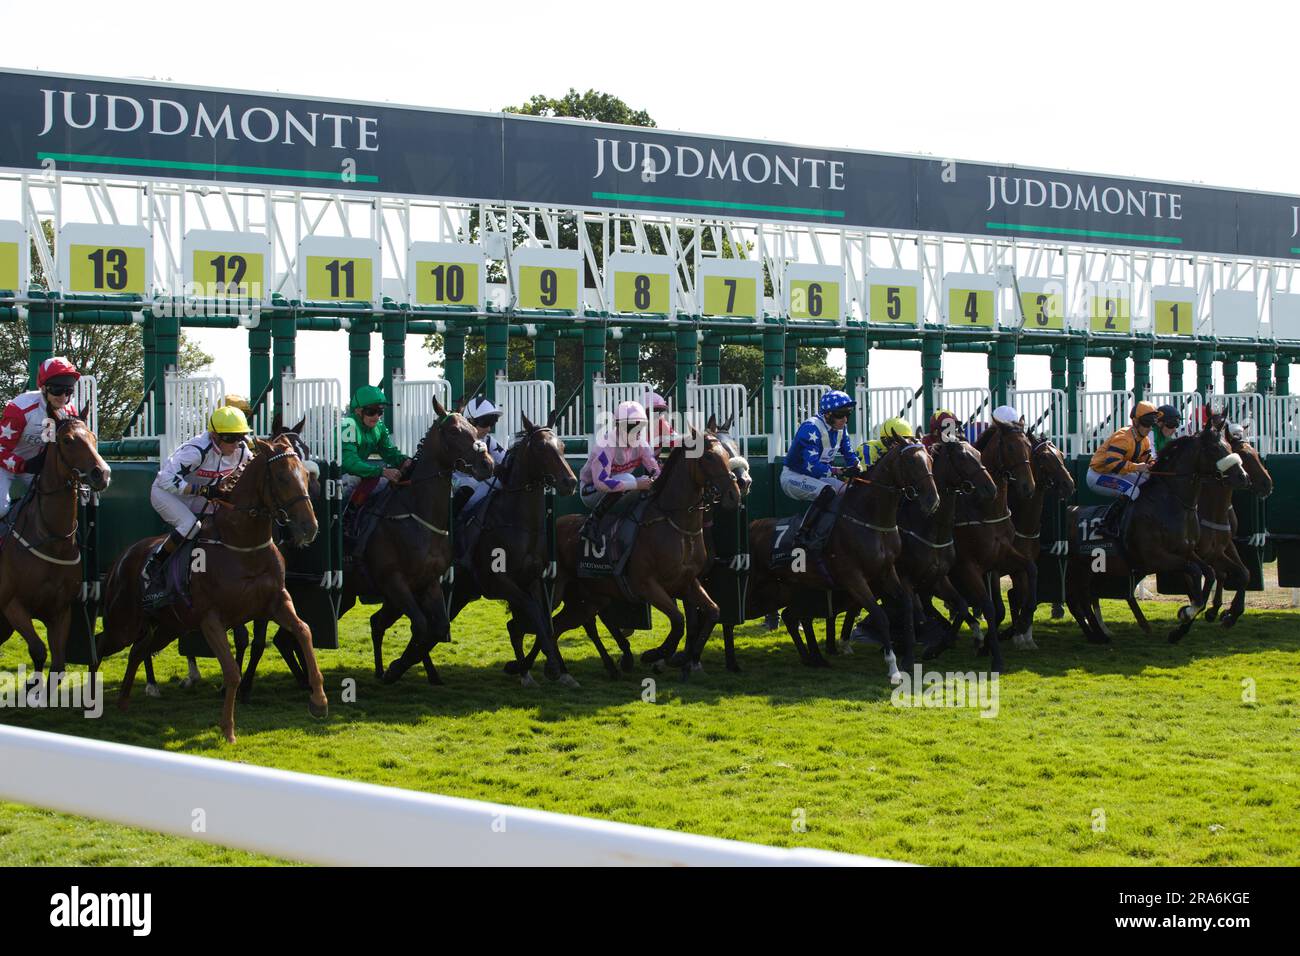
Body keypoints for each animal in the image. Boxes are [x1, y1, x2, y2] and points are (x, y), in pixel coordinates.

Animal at [0, 411, 111, 686]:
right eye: (67, 440)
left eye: (93, 436)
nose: (102, 474)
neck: (50, 537)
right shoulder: (12, 605)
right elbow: (39, 651)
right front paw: (30, 685)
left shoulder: (61, 610)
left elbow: (58, 666)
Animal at [94, 434, 322, 749]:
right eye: (281, 477)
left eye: (306, 475)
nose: (309, 527)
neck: (242, 544)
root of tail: (122, 557)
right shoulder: (211, 619)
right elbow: (232, 672)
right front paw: (228, 728)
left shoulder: (277, 603)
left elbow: (304, 631)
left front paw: (319, 700)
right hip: (124, 622)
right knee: (101, 643)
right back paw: (90, 703)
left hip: (168, 626)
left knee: (138, 650)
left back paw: (124, 701)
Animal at [1066, 429, 1248, 647]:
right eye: (1214, 448)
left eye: (1229, 447)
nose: (1243, 477)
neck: (1171, 502)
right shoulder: (1156, 558)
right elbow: (1197, 575)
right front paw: (1187, 614)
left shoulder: (1190, 552)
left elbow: (1215, 573)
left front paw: (1189, 623)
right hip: (1076, 567)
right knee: (1075, 599)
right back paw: (1099, 633)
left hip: (1092, 568)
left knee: (1084, 597)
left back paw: (1100, 633)